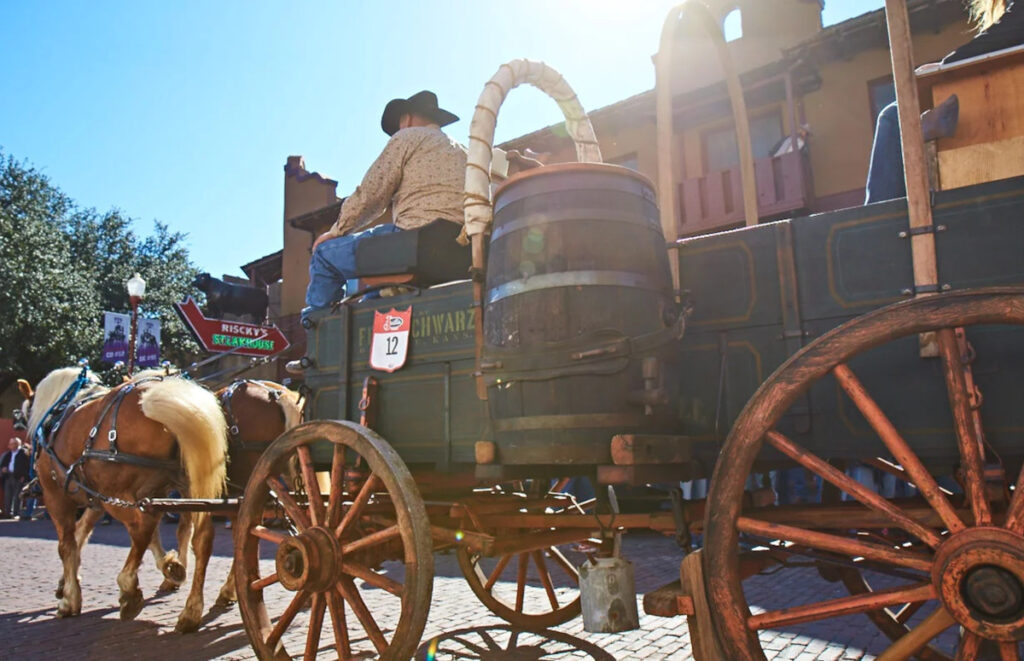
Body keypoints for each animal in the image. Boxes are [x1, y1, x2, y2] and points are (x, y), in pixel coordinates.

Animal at [18, 368, 228, 630]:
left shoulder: (56, 496)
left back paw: (129, 588)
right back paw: (191, 609)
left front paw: (69, 599)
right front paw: (170, 567)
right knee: (200, 538)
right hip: (190, 488)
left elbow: (66, 545)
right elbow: (82, 534)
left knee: (142, 527)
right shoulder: (99, 500)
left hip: (117, 493)